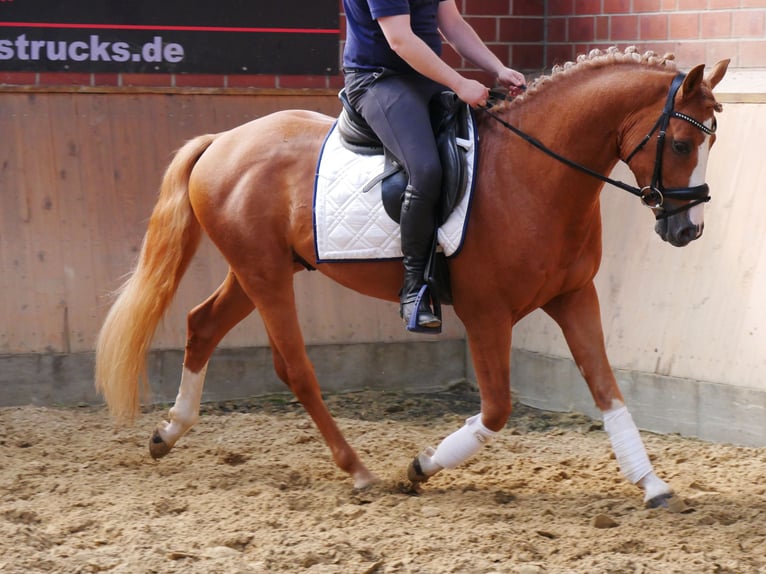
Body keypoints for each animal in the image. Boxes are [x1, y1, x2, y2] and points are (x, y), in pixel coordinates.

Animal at [96, 48, 732, 508]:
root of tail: (221, 142)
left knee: (202, 325)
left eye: (710, 142)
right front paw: (420, 467)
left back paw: (168, 433)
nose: (688, 229)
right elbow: (496, 411)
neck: (534, 173)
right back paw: (358, 471)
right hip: (265, 274)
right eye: (680, 143)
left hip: (260, 268)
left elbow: (607, 390)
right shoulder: (486, 314)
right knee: (293, 367)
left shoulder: (574, 297)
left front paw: (652, 484)